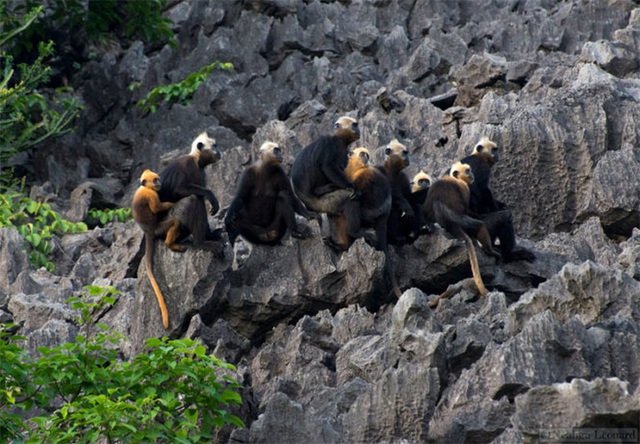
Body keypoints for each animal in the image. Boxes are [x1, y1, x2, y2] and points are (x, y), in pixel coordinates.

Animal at [131, 168, 182, 328]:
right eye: (155, 180)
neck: (145, 188)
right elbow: (155, 207)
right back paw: (170, 244)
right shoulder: (151, 194)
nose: (159, 182)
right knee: (175, 222)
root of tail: (148, 231)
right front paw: (172, 202)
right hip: (159, 228)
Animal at [292, 115, 362, 250]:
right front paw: (351, 186)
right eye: (354, 125)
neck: (340, 140)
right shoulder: (328, 143)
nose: (358, 130)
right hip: (322, 203)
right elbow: (328, 166)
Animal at [422, 161, 502, 296]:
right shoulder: (464, 188)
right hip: (460, 221)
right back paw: (490, 250)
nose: (472, 174)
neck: (454, 178)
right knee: (479, 225)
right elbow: (466, 209)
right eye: (468, 171)